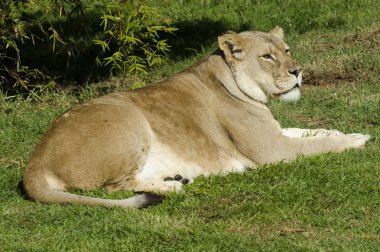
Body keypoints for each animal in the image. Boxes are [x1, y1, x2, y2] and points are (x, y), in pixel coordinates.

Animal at [22, 27, 370, 208]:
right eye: (267, 56)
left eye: (286, 50)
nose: (298, 71)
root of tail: (35, 161)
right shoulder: (272, 151)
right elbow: (317, 145)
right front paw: (357, 139)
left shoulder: (275, 135)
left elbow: (308, 132)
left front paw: (336, 130)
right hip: (128, 119)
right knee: (112, 187)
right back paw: (174, 188)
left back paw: (177, 179)